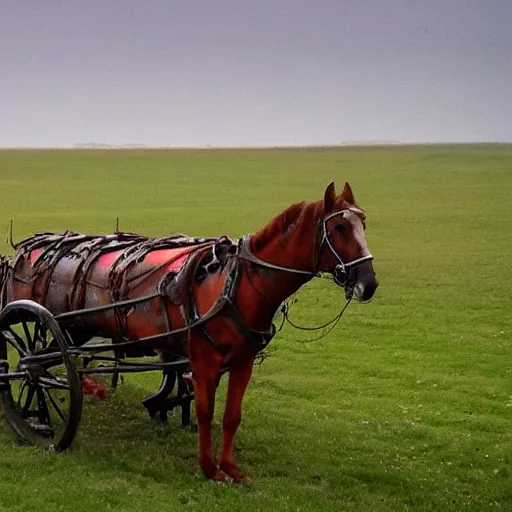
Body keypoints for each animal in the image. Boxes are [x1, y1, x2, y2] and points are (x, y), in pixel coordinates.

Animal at [2, 182, 378, 482]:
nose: (369, 283)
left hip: (74, 329)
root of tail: (21, 253)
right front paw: (209, 468)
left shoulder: (242, 361)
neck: (237, 283)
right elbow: (205, 413)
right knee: (33, 367)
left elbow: (230, 416)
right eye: (340, 226)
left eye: (363, 223)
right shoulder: (203, 360)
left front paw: (231, 468)